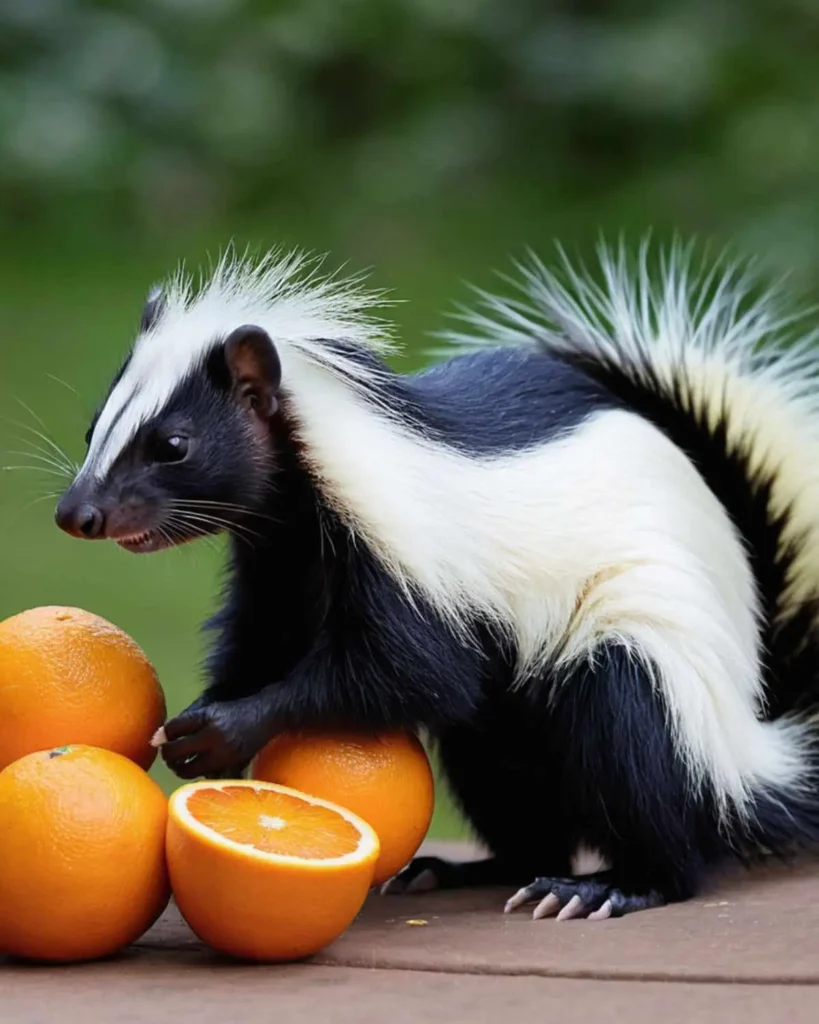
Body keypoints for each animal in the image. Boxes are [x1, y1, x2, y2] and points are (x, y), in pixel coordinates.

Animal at [54, 237, 818, 921]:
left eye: (173, 446)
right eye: (96, 430)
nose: (78, 512)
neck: (306, 502)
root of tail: (753, 751)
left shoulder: (402, 564)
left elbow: (407, 673)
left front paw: (224, 730)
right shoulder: (277, 562)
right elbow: (260, 641)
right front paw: (200, 727)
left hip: (641, 655)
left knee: (630, 744)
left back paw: (612, 888)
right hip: (507, 726)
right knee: (504, 773)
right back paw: (470, 870)